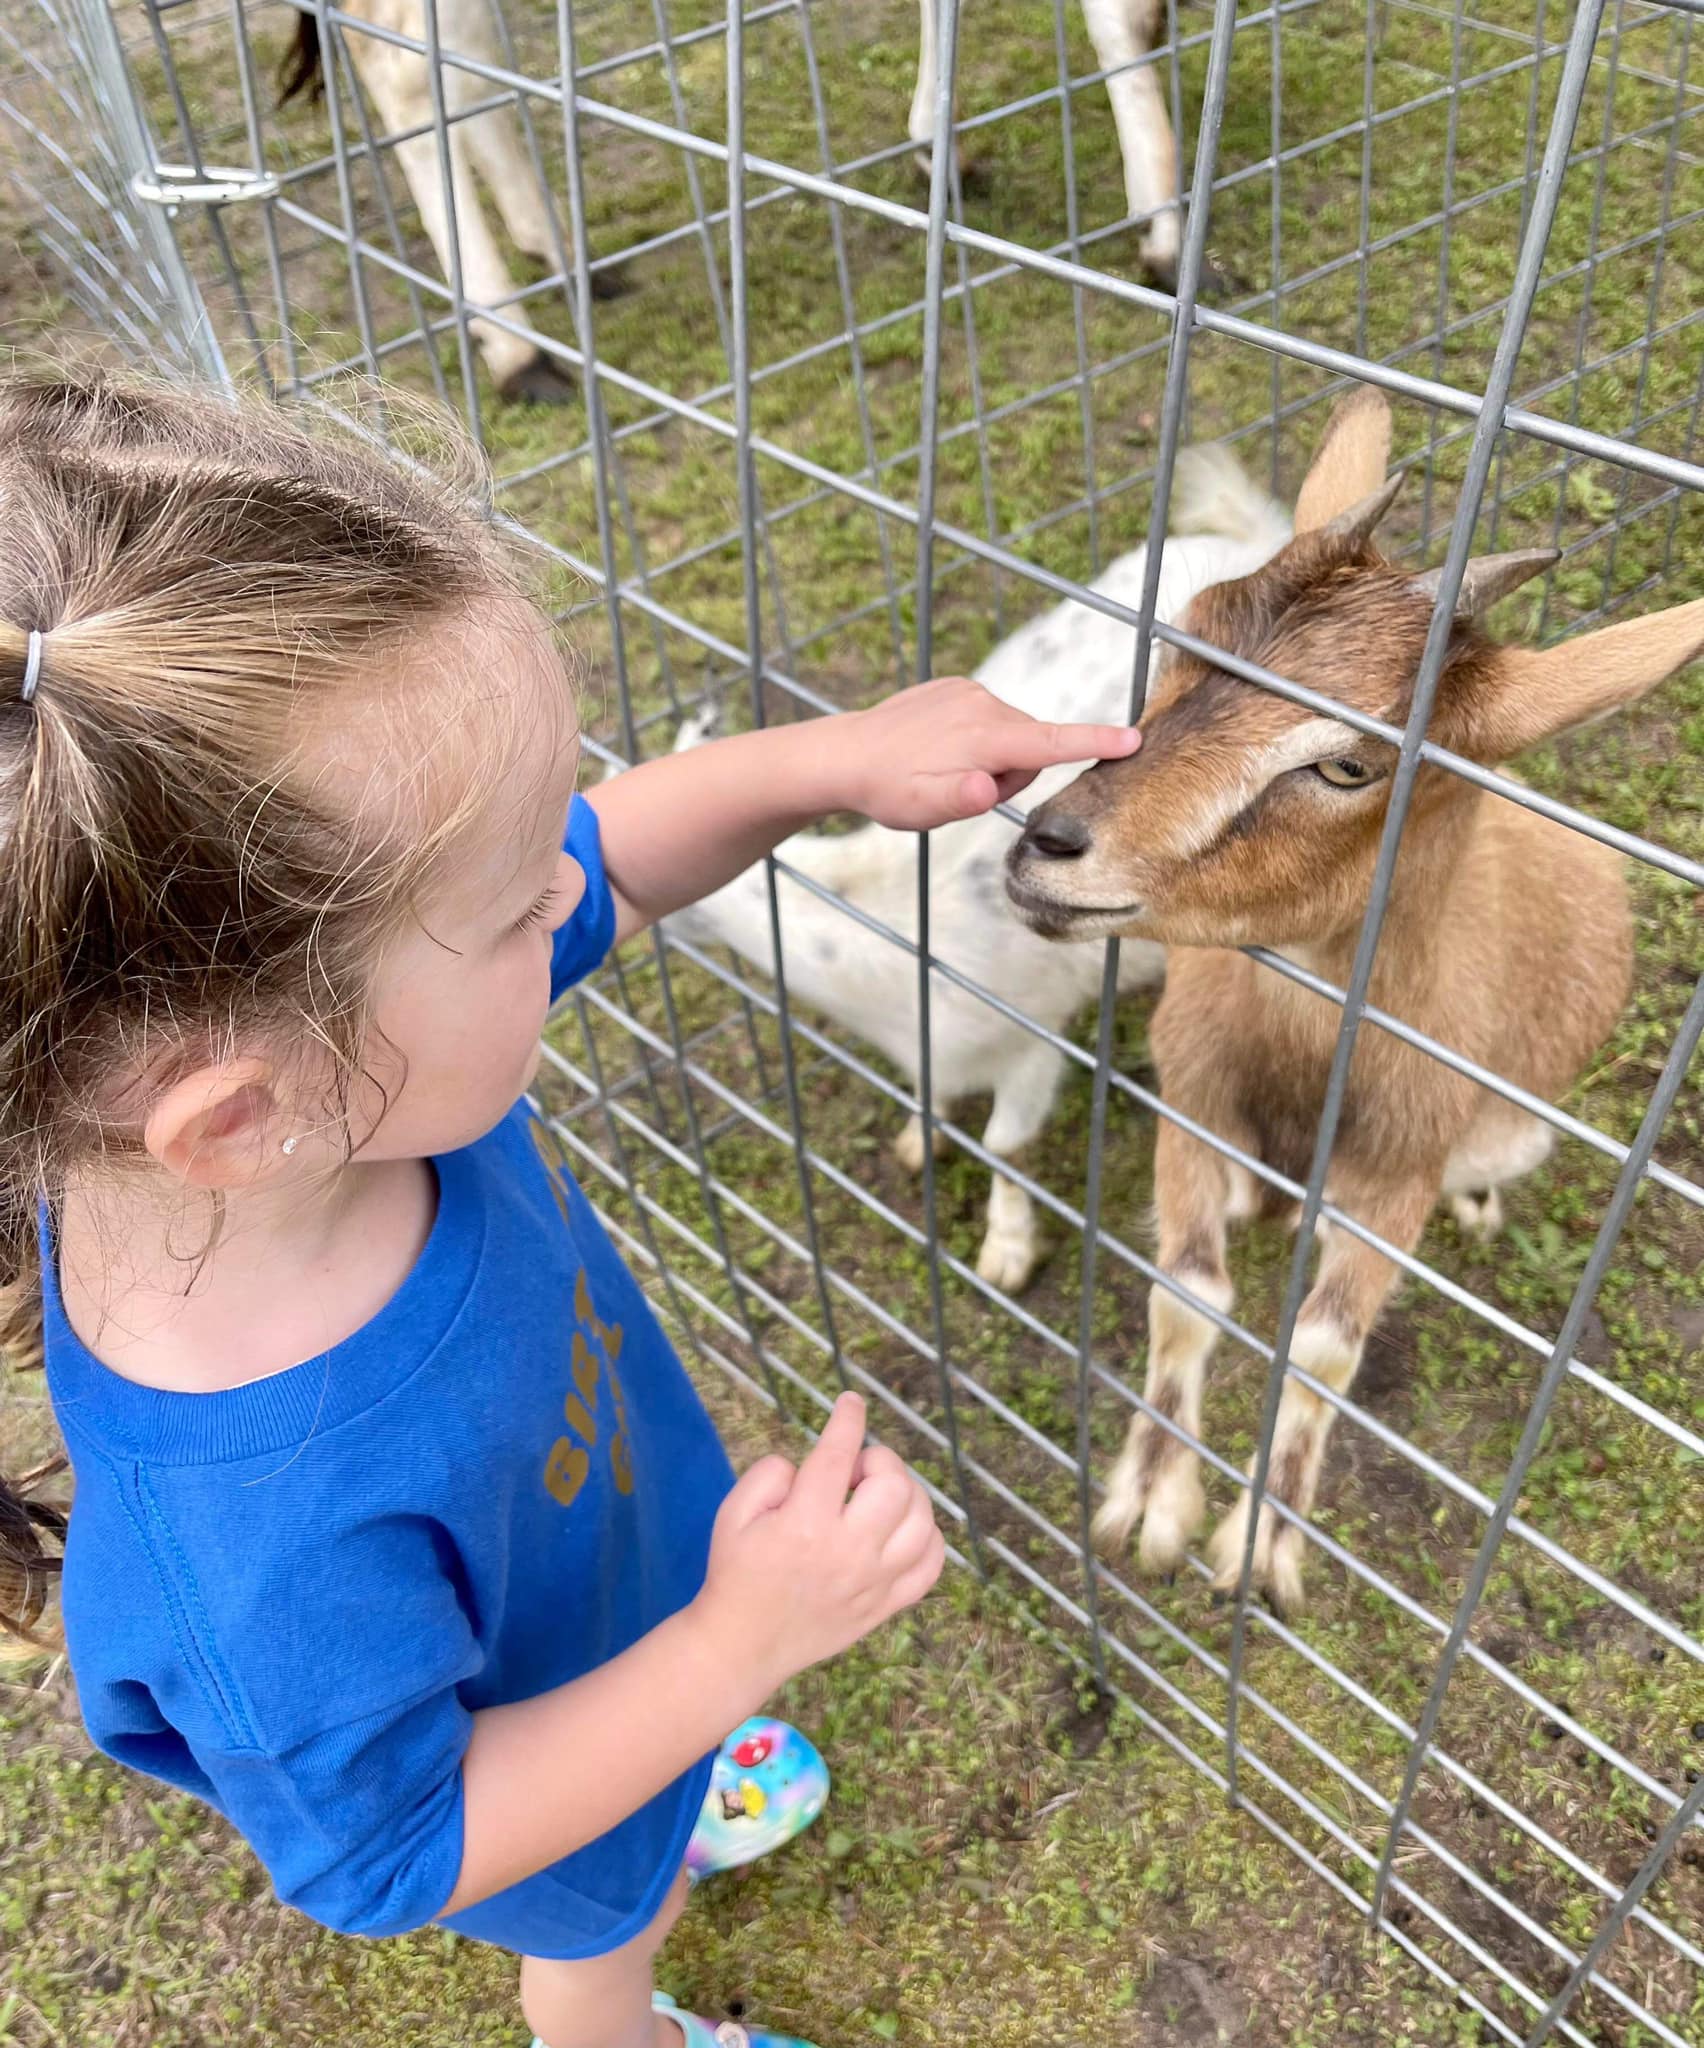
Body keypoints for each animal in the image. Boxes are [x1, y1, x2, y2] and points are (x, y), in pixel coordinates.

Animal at [1003, 387, 1695, 1613]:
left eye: (1347, 765)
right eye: (1186, 627)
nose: (1050, 843)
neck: (1305, 1069)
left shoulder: (1397, 1173)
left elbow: (1326, 1347)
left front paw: (1258, 1551)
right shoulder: (1195, 1101)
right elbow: (1187, 1289)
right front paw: (1150, 1506)